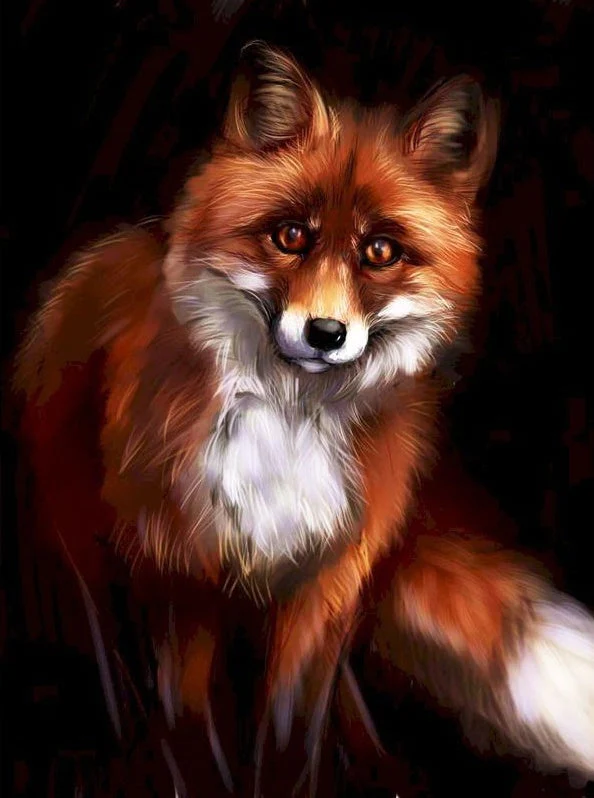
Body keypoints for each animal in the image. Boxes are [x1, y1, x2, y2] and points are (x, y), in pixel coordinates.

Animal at [12, 41, 594, 796]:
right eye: (289, 236)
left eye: (380, 252)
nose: (325, 333)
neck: (286, 425)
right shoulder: (179, 577)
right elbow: (190, 730)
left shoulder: (324, 585)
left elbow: (290, 735)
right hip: (80, 545)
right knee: (108, 653)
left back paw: (376, 763)